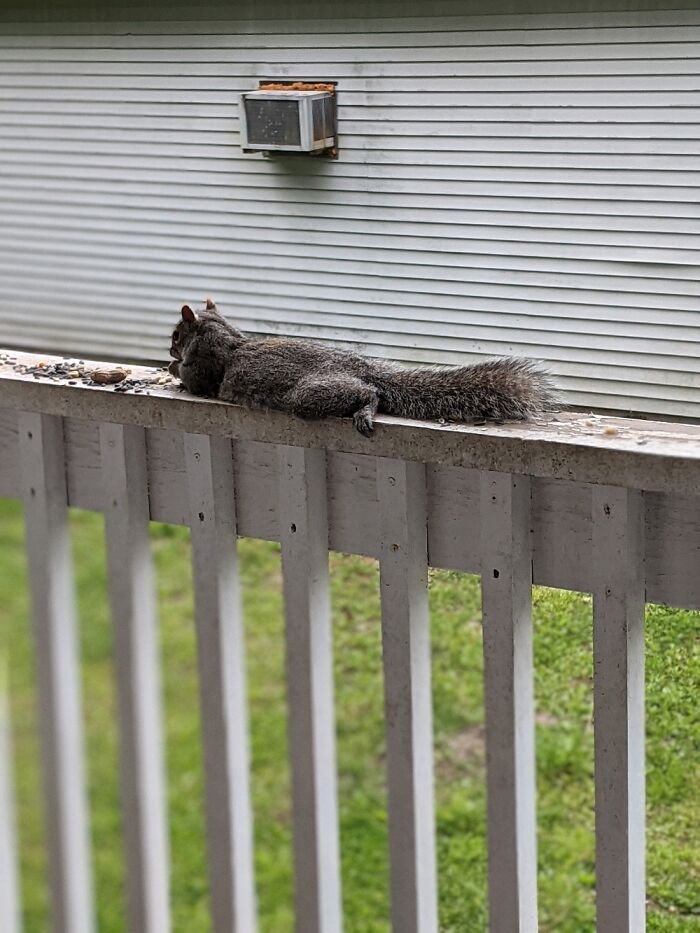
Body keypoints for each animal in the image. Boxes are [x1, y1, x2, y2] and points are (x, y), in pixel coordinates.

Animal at [168, 300, 559, 436]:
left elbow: (196, 382)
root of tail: (364, 368)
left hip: (308, 395)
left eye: (175, 333)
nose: (169, 348)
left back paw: (365, 409)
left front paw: (173, 372)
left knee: (369, 393)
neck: (221, 331)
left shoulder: (206, 363)